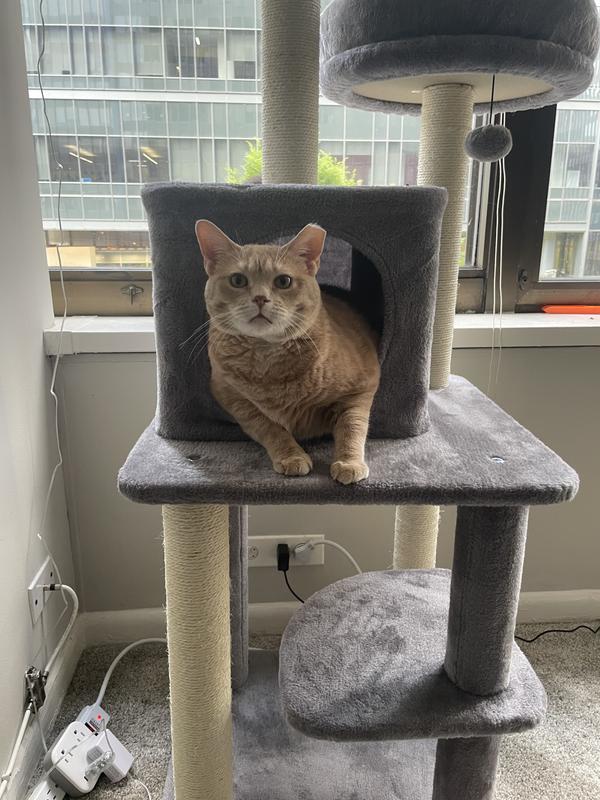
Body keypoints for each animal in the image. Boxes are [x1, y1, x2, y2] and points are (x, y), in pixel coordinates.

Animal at [195, 220, 380, 484]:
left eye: (283, 281)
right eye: (238, 280)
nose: (260, 298)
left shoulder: (361, 388)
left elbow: (351, 427)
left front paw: (348, 463)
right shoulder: (234, 398)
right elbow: (271, 428)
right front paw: (292, 456)